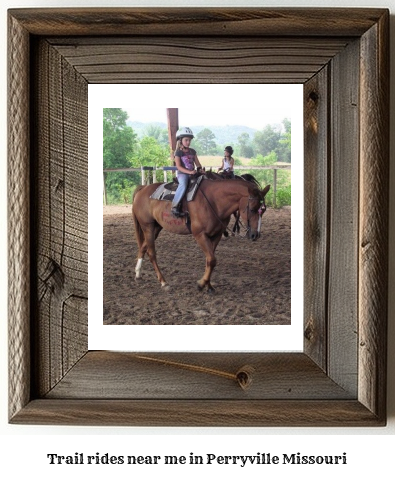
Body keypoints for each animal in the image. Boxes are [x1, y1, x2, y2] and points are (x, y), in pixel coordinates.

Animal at [133, 176, 272, 292]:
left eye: (263, 210)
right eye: (252, 209)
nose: (255, 235)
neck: (214, 201)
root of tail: (143, 188)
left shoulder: (216, 235)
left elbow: (209, 260)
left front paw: (208, 285)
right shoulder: (200, 235)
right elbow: (212, 259)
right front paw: (201, 284)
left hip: (156, 227)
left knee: (143, 247)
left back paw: (138, 273)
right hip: (148, 226)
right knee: (151, 253)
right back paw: (163, 282)